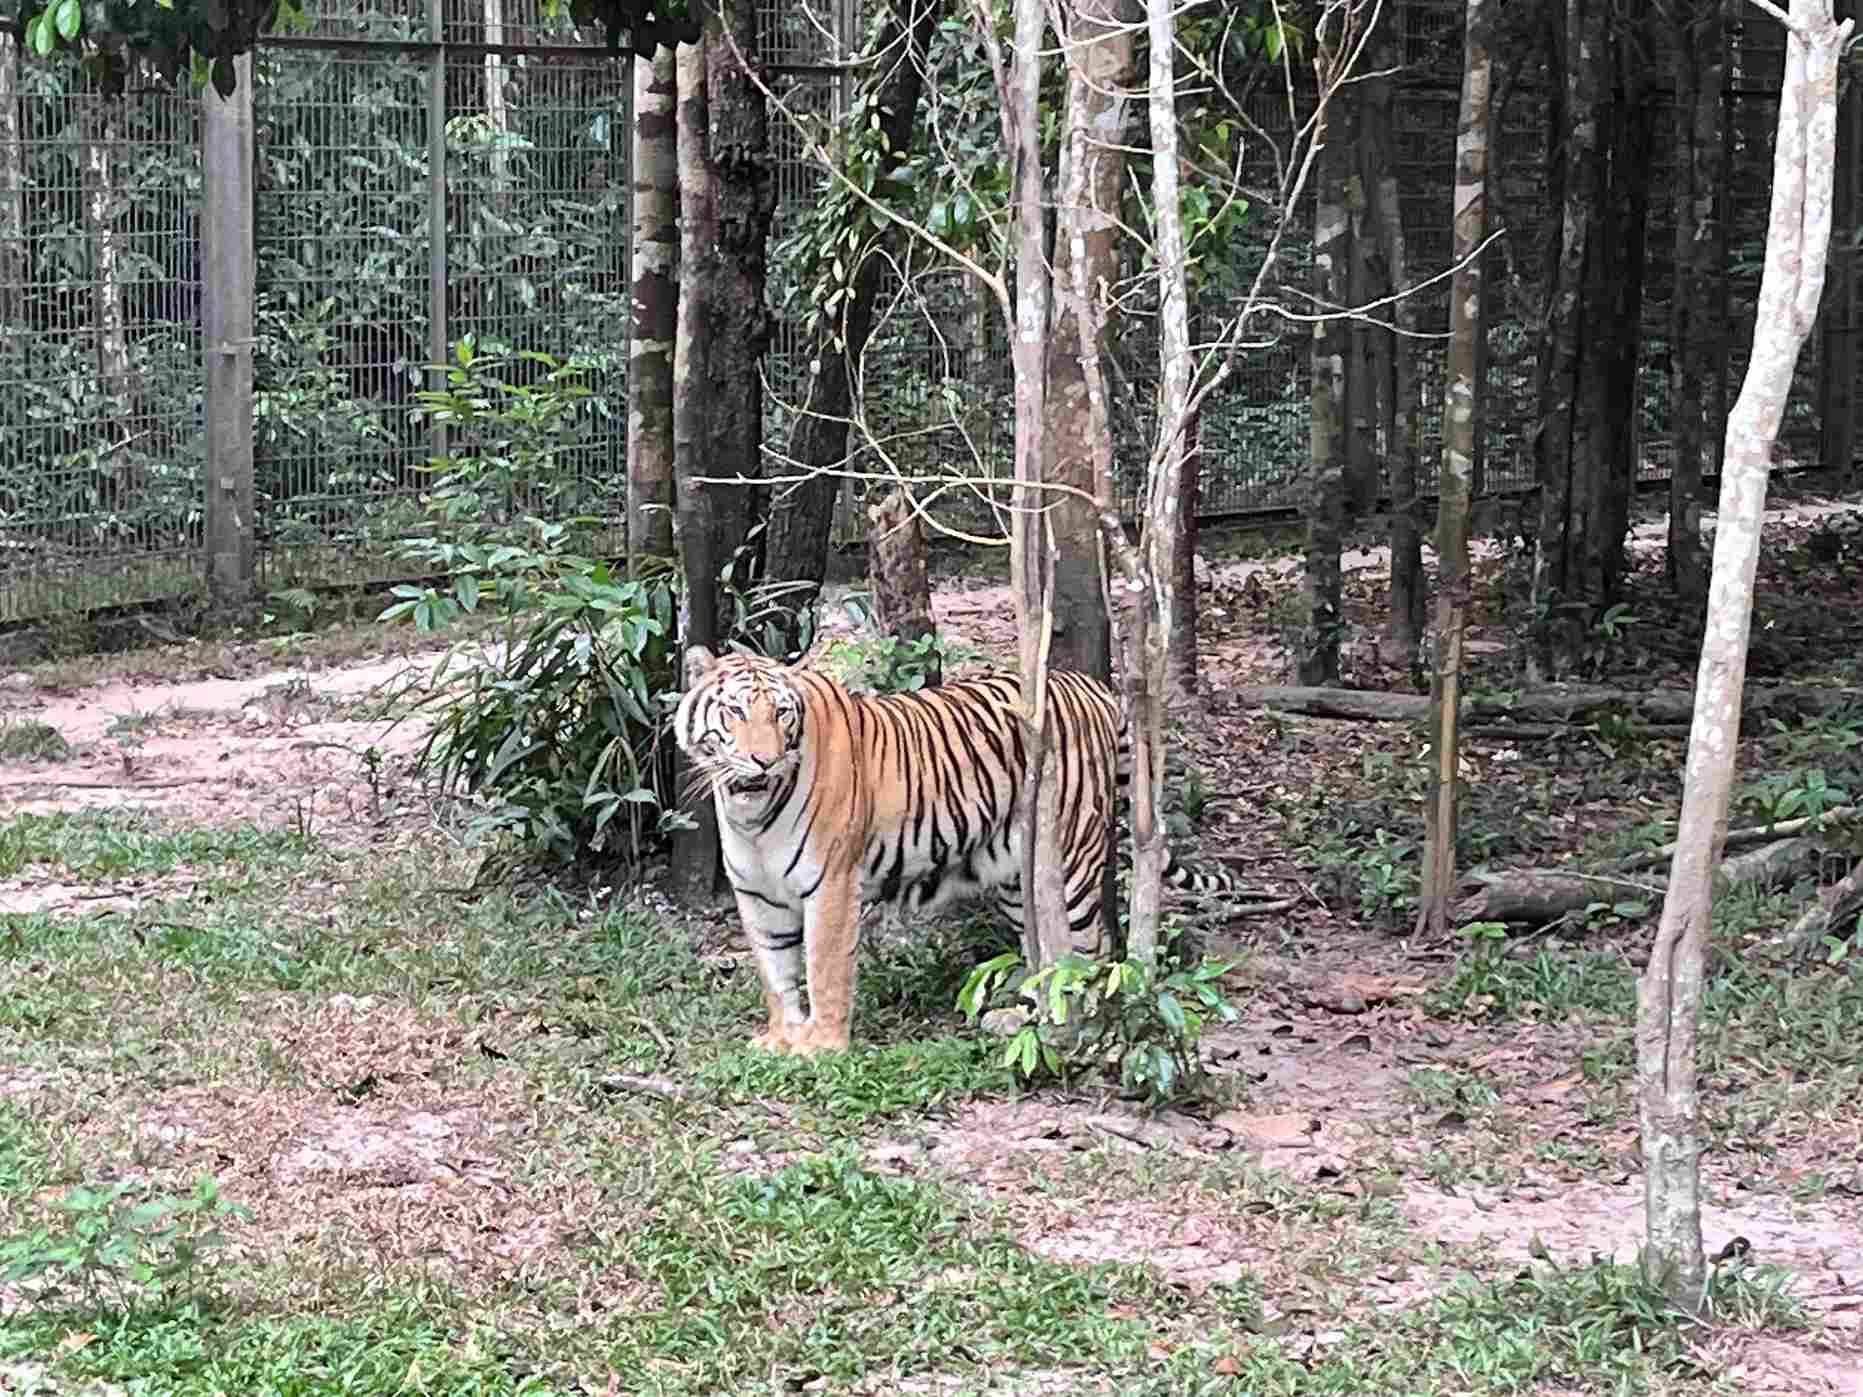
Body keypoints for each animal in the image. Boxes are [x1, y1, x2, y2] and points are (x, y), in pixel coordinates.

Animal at [670, 651, 1237, 1057]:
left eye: (781, 713)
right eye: (735, 711)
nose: (763, 759)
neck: (752, 816)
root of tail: (1092, 686)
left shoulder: (830, 885)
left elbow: (823, 969)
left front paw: (822, 1047)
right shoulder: (756, 894)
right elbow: (777, 972)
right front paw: (783, 1037)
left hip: (1072, 863)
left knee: (1088, 950)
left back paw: (1080, 1029)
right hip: (1016, 877)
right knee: (1040, 950)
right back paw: (1021, 1019)